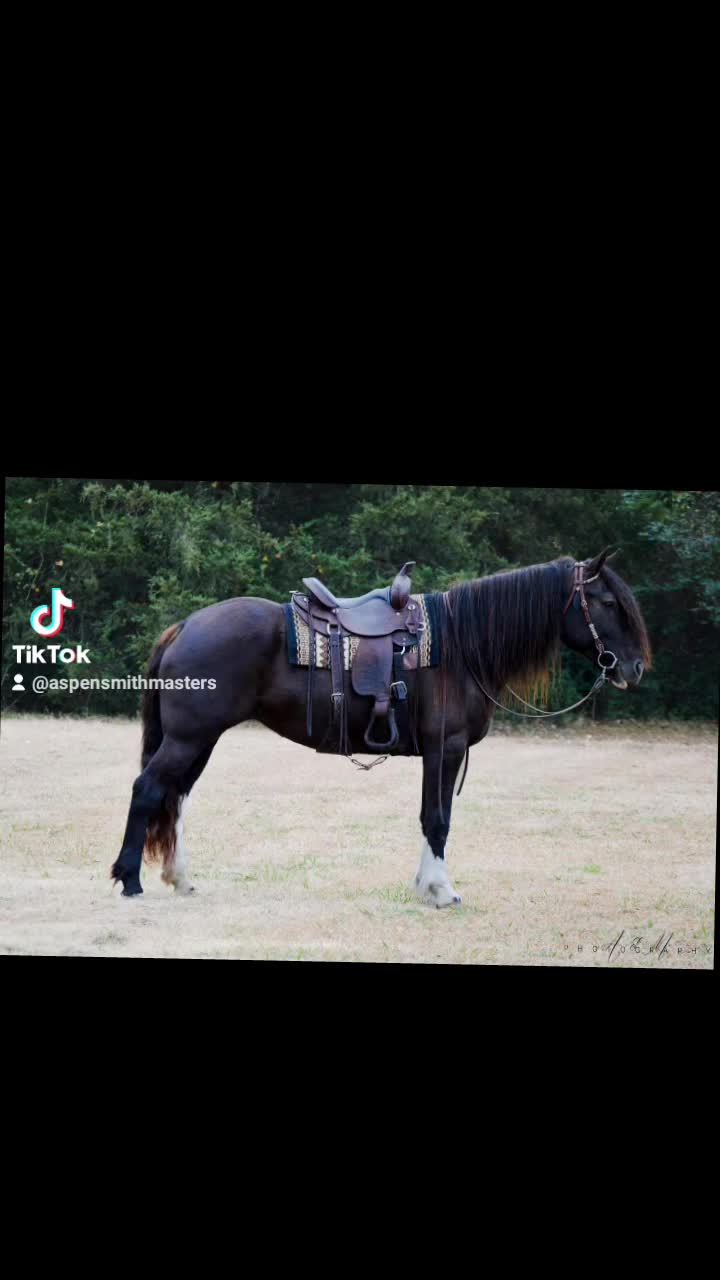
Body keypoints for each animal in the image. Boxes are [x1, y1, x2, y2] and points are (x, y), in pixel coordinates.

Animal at [110, 547, 652, 906]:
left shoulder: (438, 753)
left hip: (200, 740)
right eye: (607, 602)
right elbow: (438, 819)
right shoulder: (445, 748)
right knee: (147, 789)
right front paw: (441, 890)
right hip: (189, 739)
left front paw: (425, 885)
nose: (634, 668)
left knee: (176, 799)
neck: (463, 644)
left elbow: (430, 817)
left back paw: (180, 878)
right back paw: (129, 879)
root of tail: (186, 626)